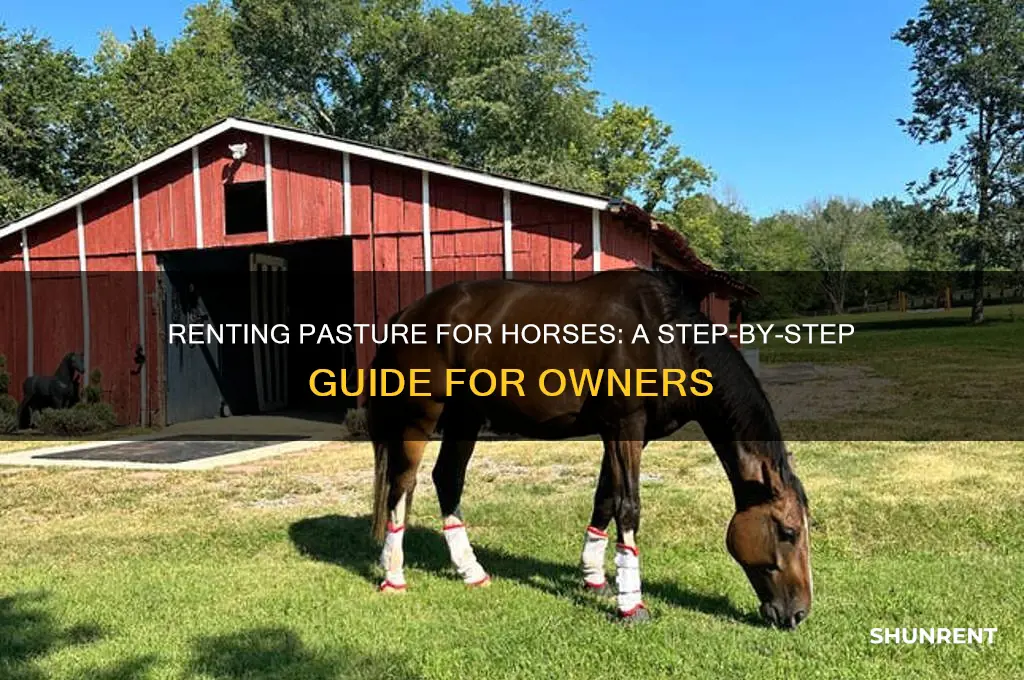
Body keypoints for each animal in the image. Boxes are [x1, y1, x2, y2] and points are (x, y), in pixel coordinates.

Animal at [366, 269, 811, 628]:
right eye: (788, 531)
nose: (799, 613)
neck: (664, 338)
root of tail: (406, 313)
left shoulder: (626, 433)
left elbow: (606, 498)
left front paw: (595, 578)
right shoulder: (624, 425)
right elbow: (628, 507)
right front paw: (632, 605)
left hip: (466, 416)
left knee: (448, 478)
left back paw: (470, 570)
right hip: (421, 414)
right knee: (402, 485)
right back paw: (394, 576)